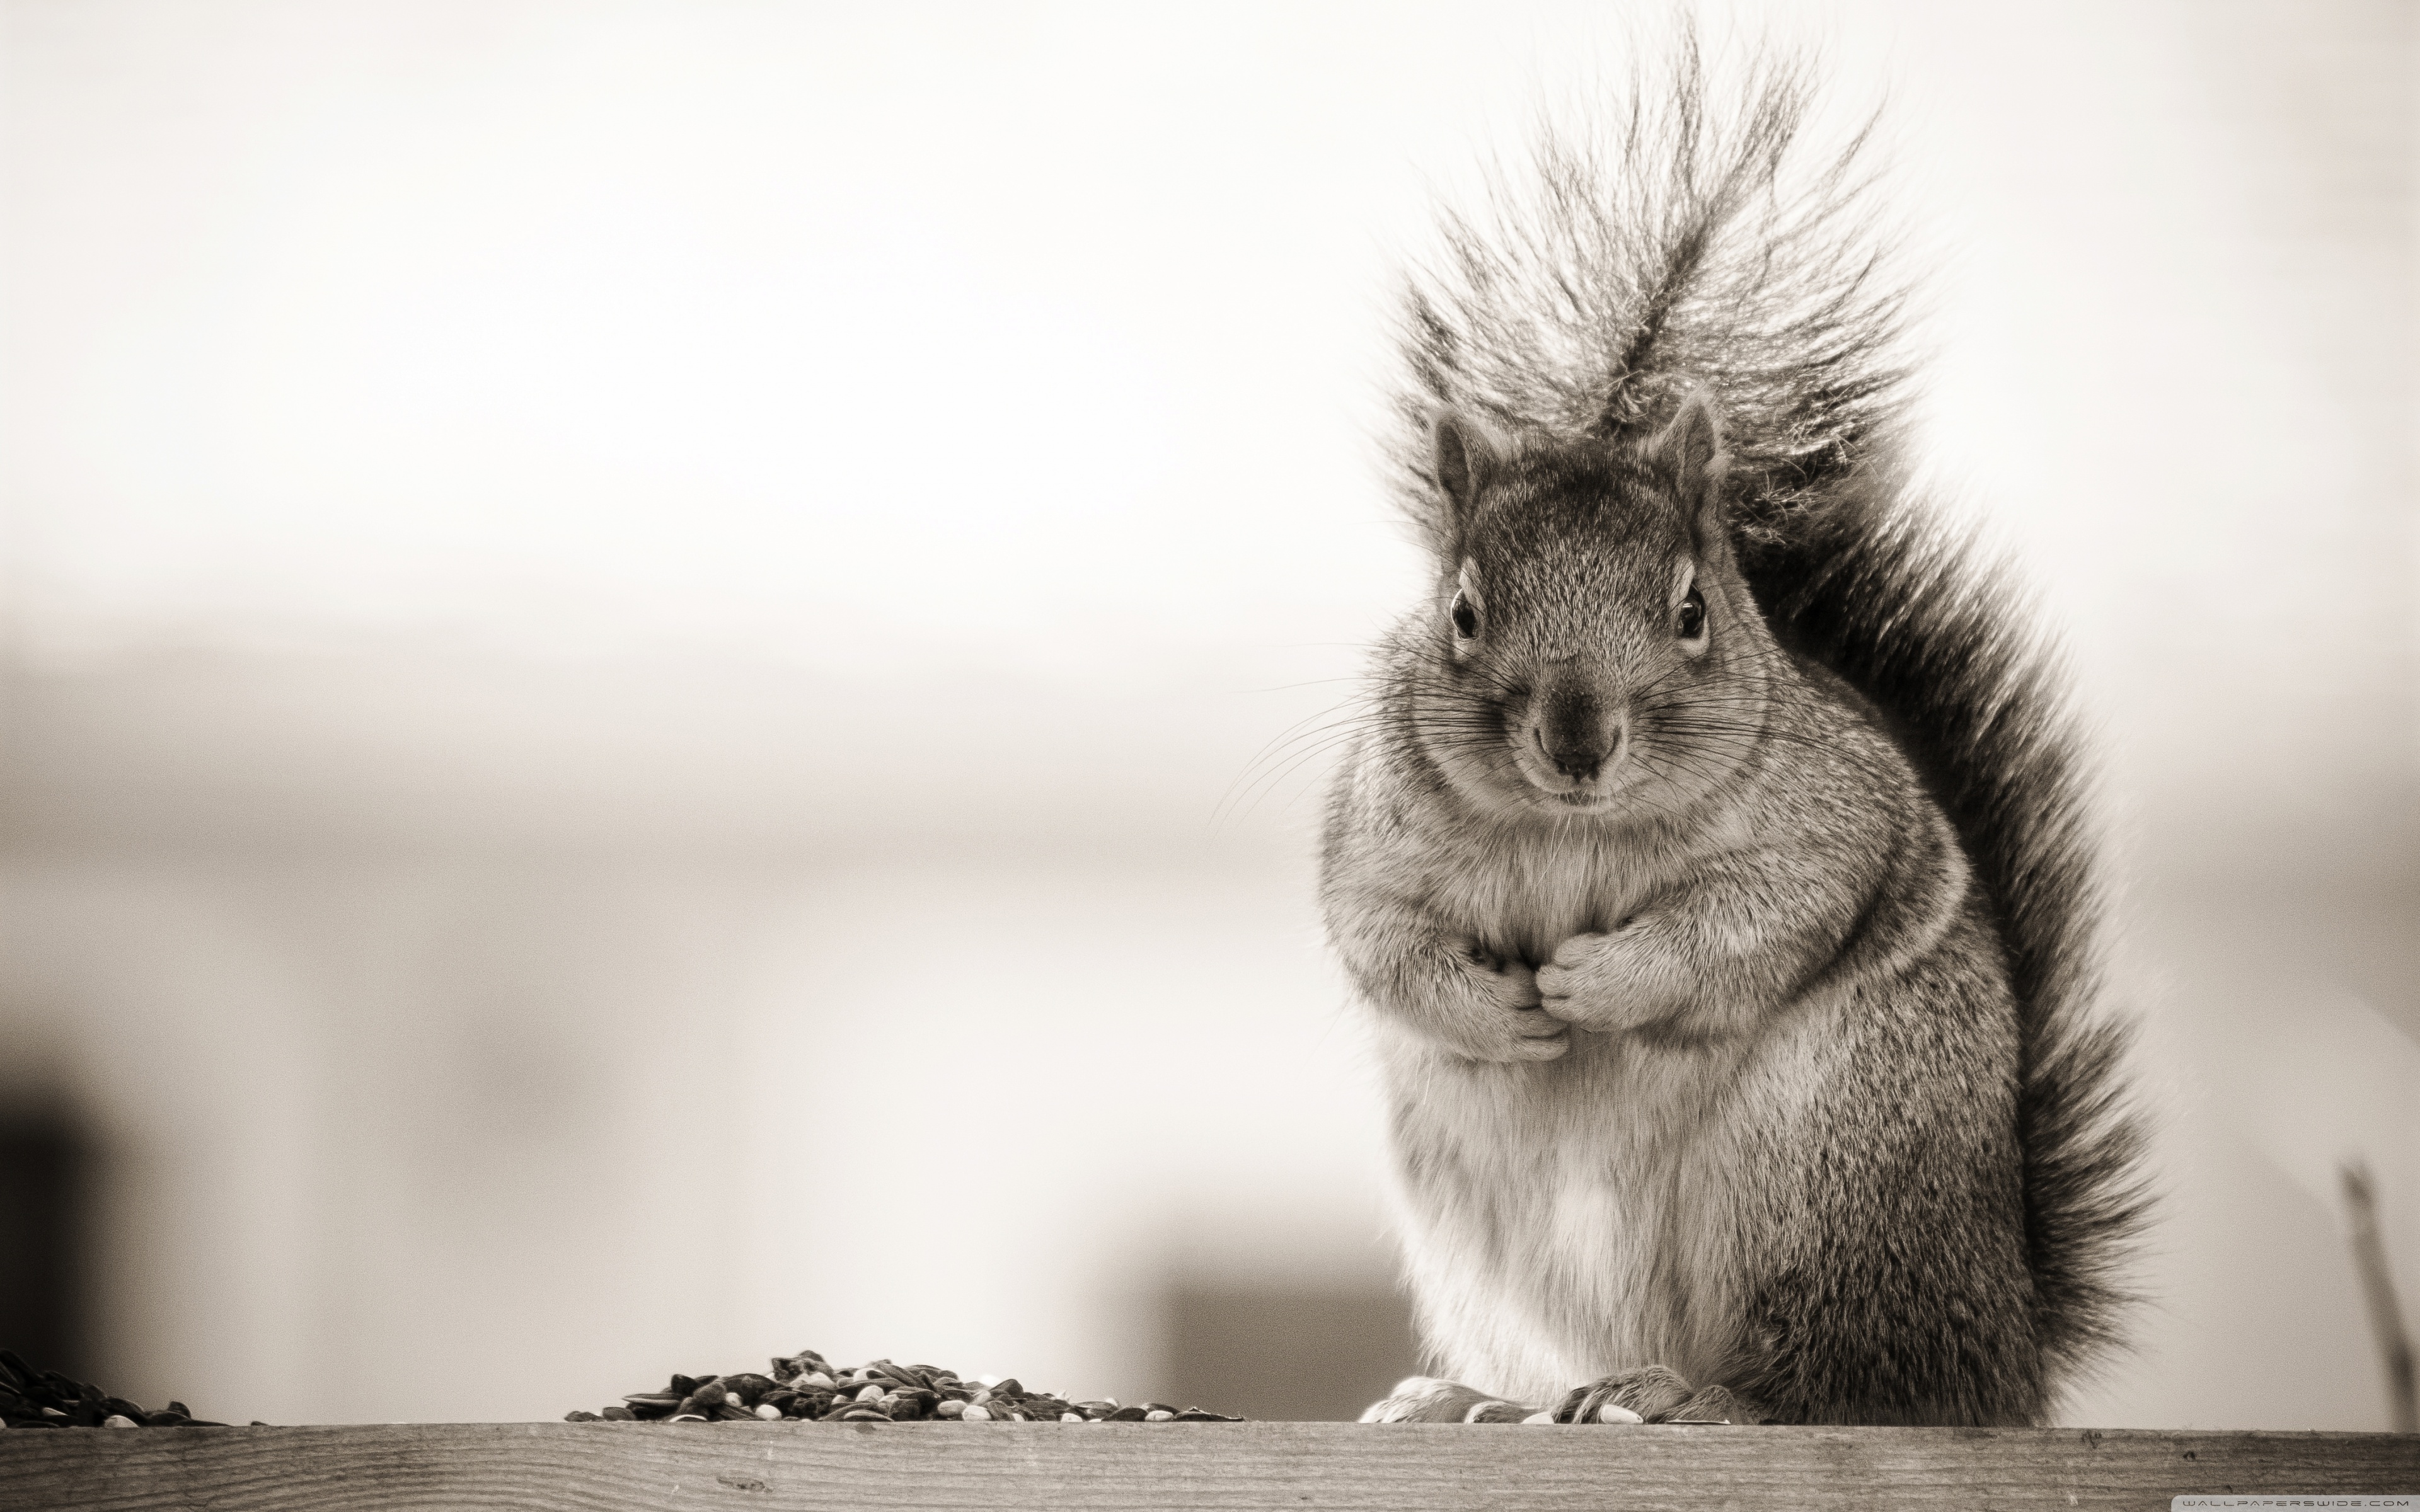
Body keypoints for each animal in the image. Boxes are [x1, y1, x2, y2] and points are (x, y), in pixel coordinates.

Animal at [1320, 49, 2148, 1428]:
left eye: (1692, 611)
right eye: (1463, 612)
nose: (1578, 740)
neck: (1574, 831)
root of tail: (2010, 1343)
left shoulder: (1829, 821)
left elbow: (1755, 918)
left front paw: (1594, 983)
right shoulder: (1374, 836)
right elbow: (1379, 940)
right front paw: (1502, 1010)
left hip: (1824, 1180)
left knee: (1856, 1388)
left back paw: (1705, 1400)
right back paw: (1477, 1400)